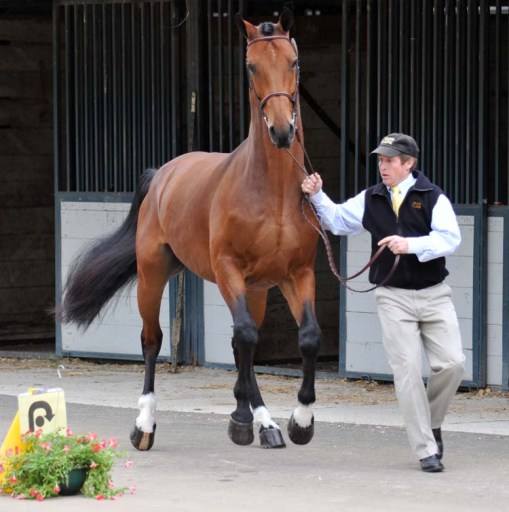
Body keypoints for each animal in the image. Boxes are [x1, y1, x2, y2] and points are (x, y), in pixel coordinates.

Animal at [60, 8, 322, 451]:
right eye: (251, 67)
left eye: (295, 62)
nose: (282, 131)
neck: (273, 194)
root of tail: (164, 174)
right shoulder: (230, 270)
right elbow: (246, 338)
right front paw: (263, 421)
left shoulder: (297, 274)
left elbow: (306, 337)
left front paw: (299, 421)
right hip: (153, 275)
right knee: (153, 340)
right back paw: (145, 426)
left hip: (253, 289)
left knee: (241, 343)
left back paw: (251, 420)